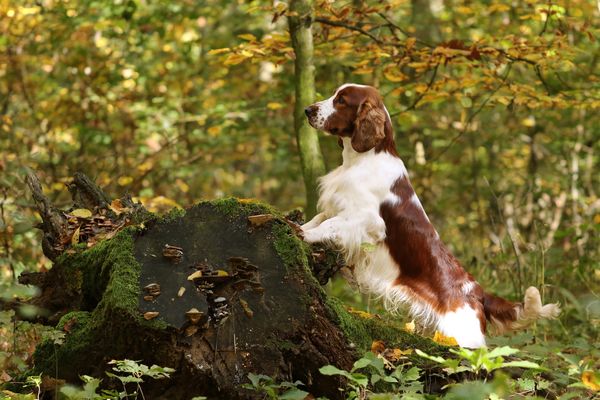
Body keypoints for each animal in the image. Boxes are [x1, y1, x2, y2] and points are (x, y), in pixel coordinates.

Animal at [302, 83, 560, 346]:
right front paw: (299, 225)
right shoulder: (338, 205)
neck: (362, 159)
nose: (307, 110)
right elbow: (320, 218)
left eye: (342, 100)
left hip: (464, 338)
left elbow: (329, 225)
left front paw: (303, 234)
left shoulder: (367, 220)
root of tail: (478, 293)